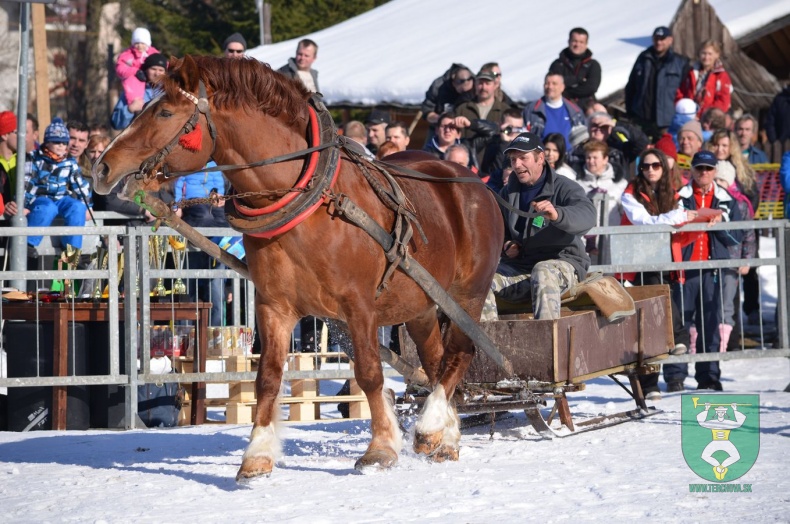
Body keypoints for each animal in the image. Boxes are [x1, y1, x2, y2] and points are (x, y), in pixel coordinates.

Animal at [91, 56, 502, 478]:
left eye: (165, 112)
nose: (101, 167)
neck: (311, 200)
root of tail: (476, 183)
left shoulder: (359, 306)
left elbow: (369, 373)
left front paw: (381, 447)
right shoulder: (274, 305)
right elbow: (268, 377)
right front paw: (257, 453)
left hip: (467, 295)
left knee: (461, 353)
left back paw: (432, 423)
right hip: (420, 303)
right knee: (436, 361)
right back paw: (443, 435)